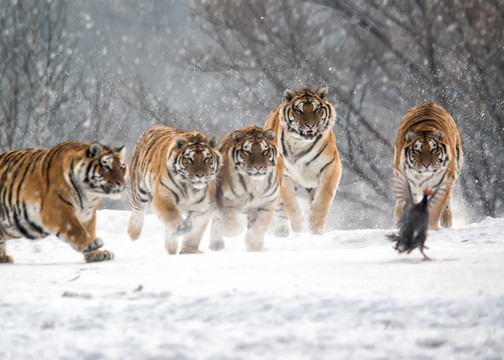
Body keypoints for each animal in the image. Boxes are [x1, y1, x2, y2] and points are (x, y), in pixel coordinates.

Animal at [0, 142, 128, 262]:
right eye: (107, 167)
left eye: (122, 167)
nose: (121, 183)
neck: (90, 194)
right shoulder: (58, 210)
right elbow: (76, 229)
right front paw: (91, 243)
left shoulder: (88, 214)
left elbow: (89, 229)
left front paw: (96, 254)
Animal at [126, 125, 220, 255]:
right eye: (189, 159)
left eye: (206, 159)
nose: (200, 175)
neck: (190, 188)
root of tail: (153, 127)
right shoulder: (163, 195)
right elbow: (171, 214)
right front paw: (182, 229)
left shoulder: (203, 206)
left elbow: (195, 232)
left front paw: (189, 251)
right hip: (140, 191)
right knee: (137, 212)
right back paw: (134, 236)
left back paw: (171, 248)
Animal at [264, 86, 342, 235]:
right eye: (299, 110)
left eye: (316, 109)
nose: (310, 125)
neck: (300, 143)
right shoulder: (285, 174)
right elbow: (291, 203)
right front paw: (299, 227)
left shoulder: (331, 166)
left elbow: (324, 197)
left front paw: (315, 224)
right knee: (279, 207)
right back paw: (281, 231)